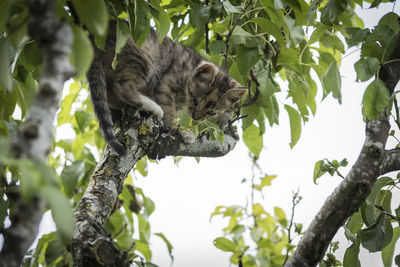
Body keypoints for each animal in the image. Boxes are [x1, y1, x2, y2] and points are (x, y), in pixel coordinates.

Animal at [87, 21, 247, 157]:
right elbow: (169, 111)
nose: (196, 117)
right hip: (144, 55)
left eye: (211, 112)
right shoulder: (165, 83)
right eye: (195, 99)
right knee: (121, 87)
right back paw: (152, 107)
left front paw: (182, 133)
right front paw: (173, 129)